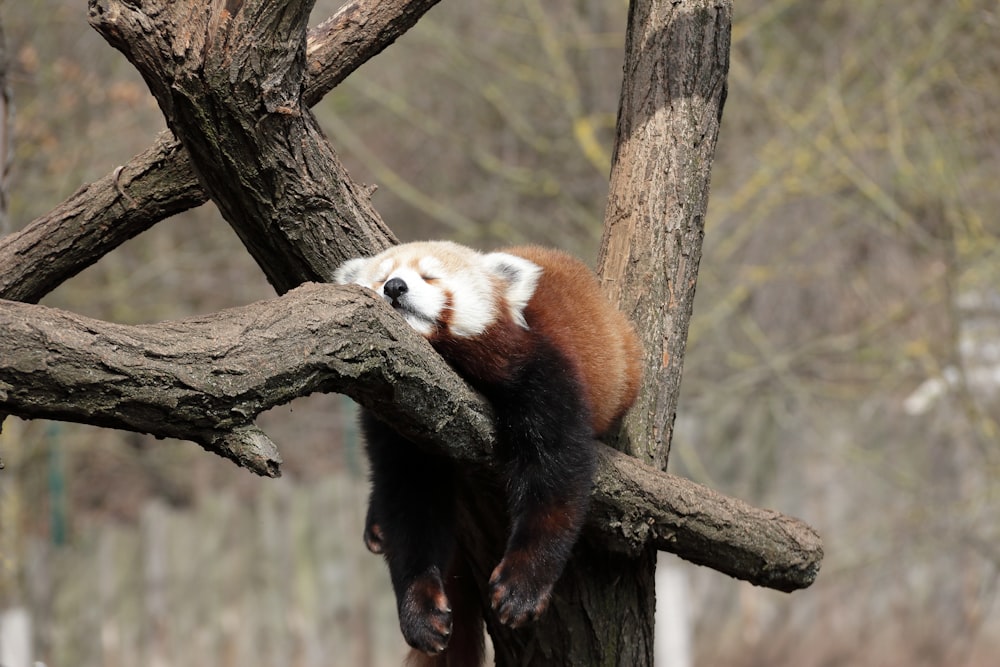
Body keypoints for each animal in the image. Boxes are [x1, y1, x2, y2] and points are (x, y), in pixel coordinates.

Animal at [334, 243, 640, 664]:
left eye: (430, 277)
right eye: (382, 277)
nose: (394, 287)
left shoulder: (538, 371)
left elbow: (556, 472)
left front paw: (521, 587)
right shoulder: (393, 418)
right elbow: (408, 504)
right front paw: (420, 610)